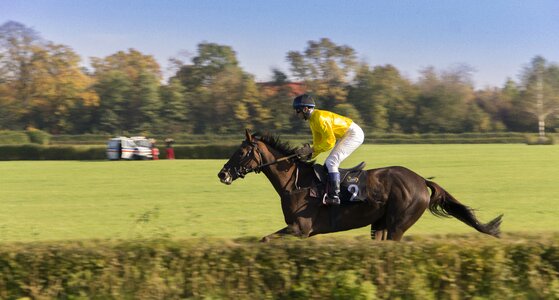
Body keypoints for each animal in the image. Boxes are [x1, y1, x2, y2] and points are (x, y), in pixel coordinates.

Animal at [218, 129, 504, 241]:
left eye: (241, 152)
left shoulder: (300, 228)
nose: (222, 174)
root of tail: (421, 180)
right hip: (380, 224)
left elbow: (265, 239)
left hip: (398, 224)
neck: (295, 182)